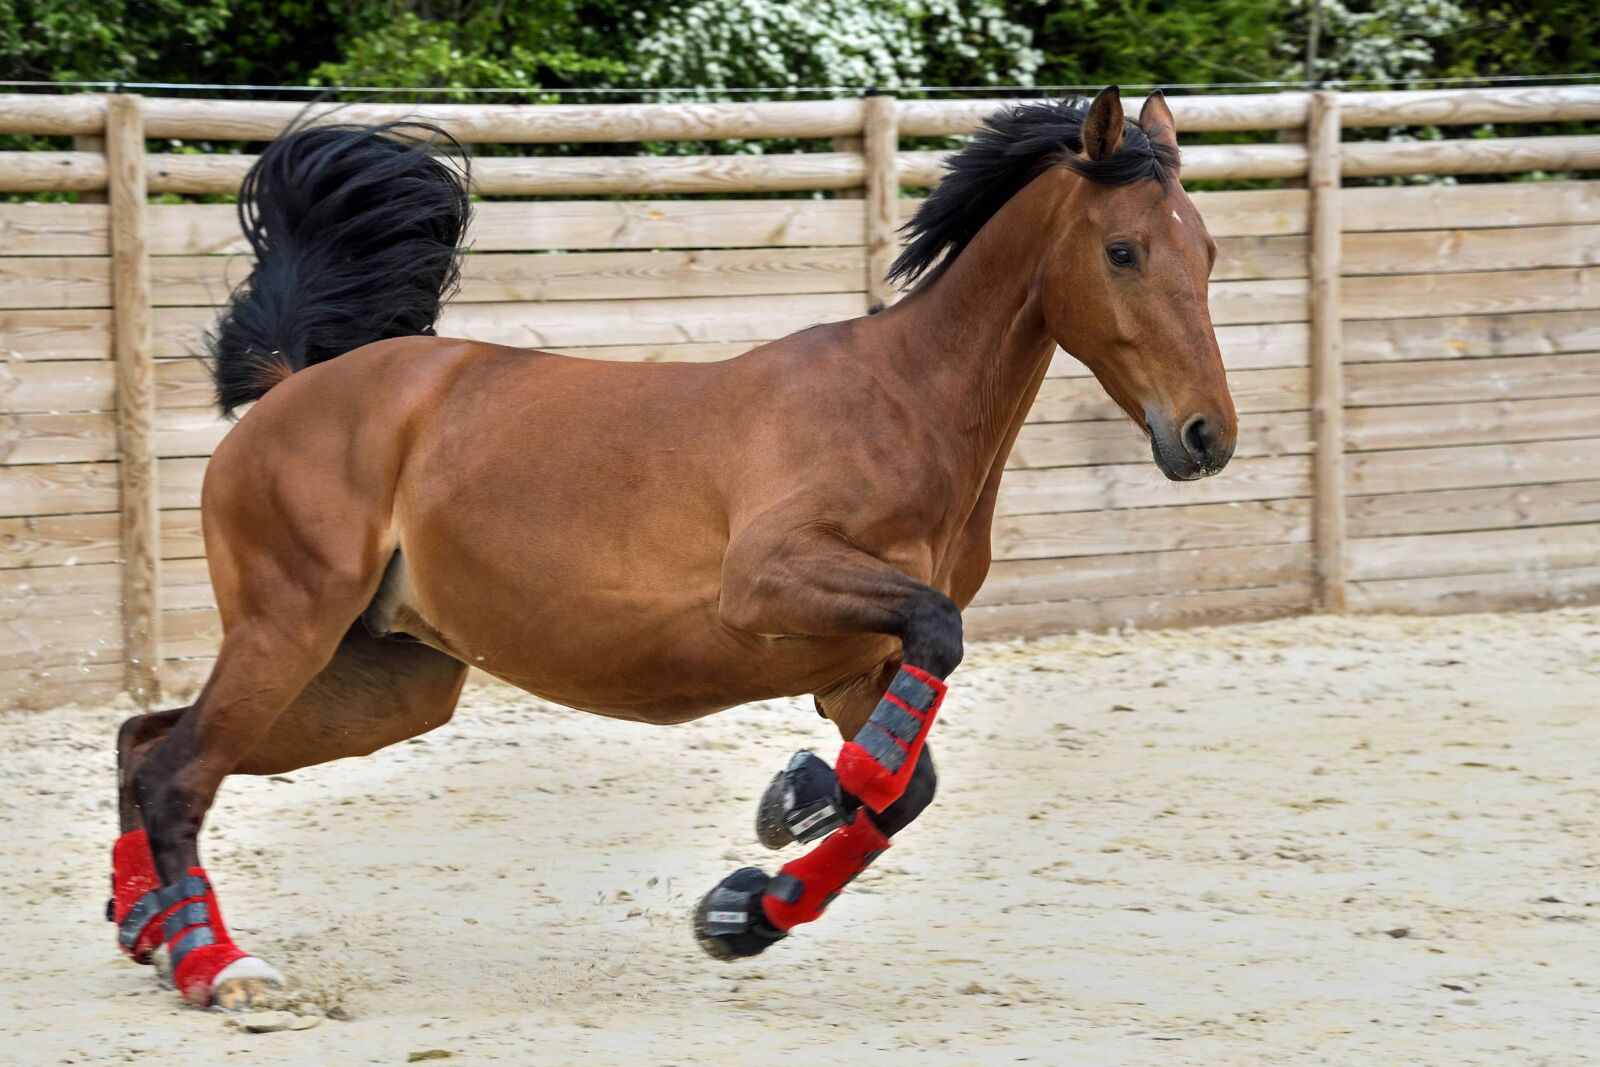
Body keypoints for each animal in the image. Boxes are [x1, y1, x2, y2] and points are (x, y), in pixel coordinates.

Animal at [108, 86, 1236, 1010]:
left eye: (1210, 254)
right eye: (1123, 250)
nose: (1204, 436)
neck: (906, 405)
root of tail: (293, 386)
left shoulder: (856, 668)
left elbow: (904, 785)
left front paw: (747, 905)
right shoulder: (770, 584)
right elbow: (934, 646)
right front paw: (799, 797)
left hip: (382, 680)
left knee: (145, 741)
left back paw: (151, 929)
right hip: (291, 628)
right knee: (179, 771)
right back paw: (220, 966)